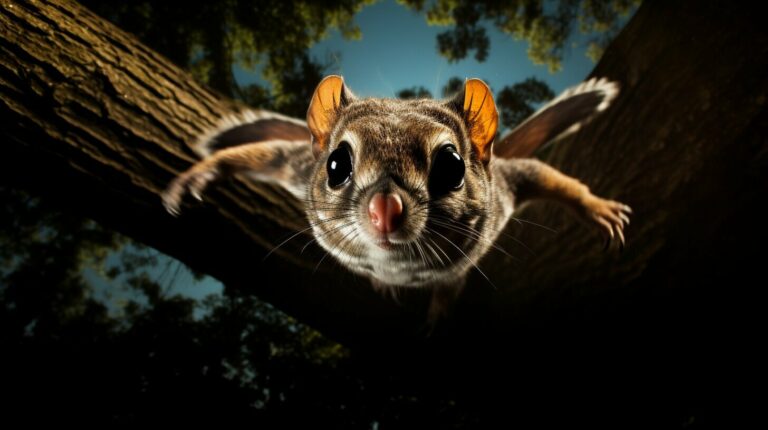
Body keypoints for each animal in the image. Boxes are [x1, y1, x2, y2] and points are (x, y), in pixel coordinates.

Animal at [162, 76, 631, 322]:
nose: (383, 209)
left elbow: (546, 176)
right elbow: (264, 154)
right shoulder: (296, 165)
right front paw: (200, 173)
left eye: (452, 166)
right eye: (335, 165)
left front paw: (598, 209)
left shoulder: (506, 190)